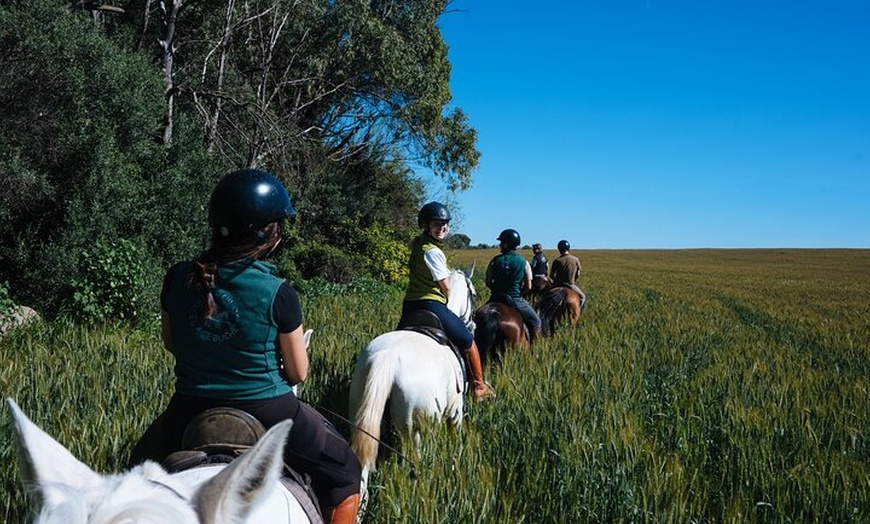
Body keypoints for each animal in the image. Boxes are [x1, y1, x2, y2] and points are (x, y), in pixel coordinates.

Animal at [348, 268, 476, 484]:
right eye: (473, 294)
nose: (473, 324)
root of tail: (388, 357)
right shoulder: (456, 412)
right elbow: (455, 437)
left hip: (368, 421)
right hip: (415, 430)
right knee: (417, 461)